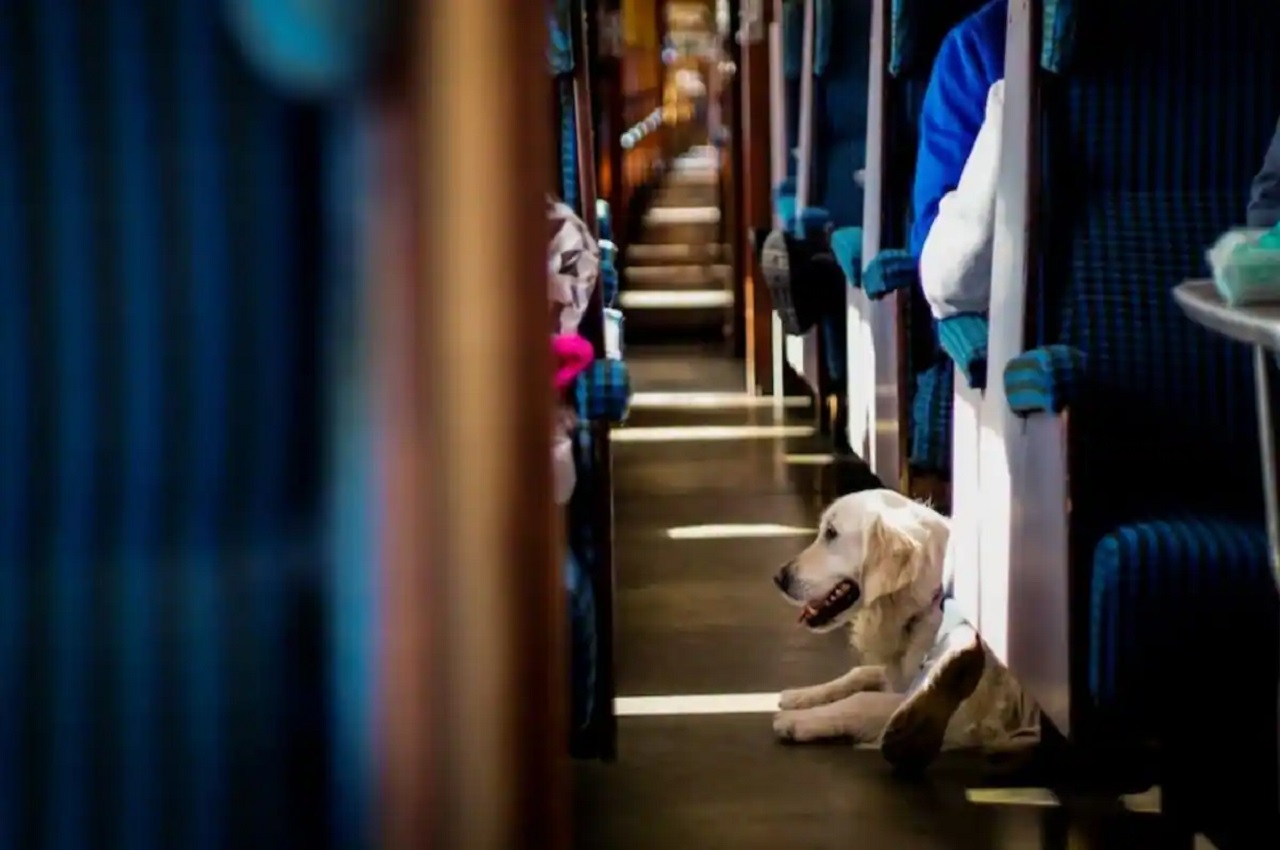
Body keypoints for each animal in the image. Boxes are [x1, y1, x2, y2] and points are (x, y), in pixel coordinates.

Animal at [768, 483, 1039, 768]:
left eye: (831, 533)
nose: (778, 577)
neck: (929, 602)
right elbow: (858, 673)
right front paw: (801, 695)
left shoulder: (964, 713)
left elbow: (864, 700)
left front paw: (799, 720)